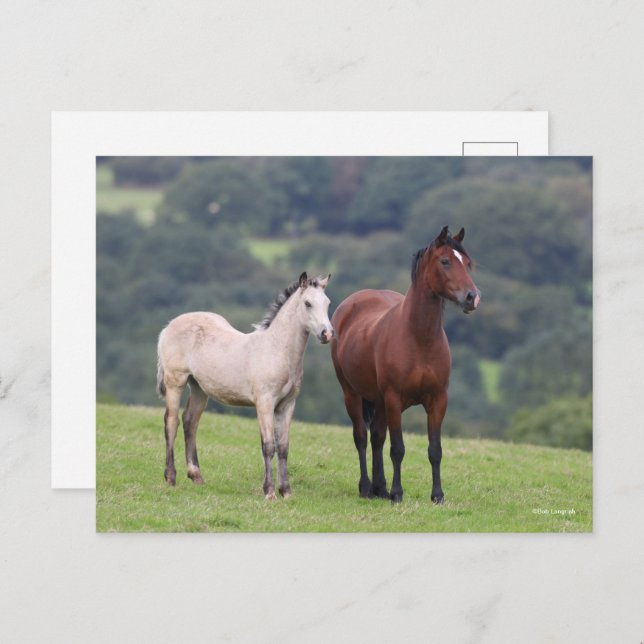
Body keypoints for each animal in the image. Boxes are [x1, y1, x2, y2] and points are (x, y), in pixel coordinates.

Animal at [156, 272, 334, 500]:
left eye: (327, 303)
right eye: (308, 303)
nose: (327, 334)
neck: (276, 350)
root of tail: (169, 325)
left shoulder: (287, 405)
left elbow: (283, 447)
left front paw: (286, 491)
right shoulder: (264, 403)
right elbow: (268, 446)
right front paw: (269, 492)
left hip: (199, 388)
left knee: (190, 421)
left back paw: (196, 476)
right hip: (175, 381)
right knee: (171, 422)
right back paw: (170, 477)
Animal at [330, 226, 480, 504]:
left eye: (467, 262)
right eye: (445, 261)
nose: (472, 297)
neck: (420, 339)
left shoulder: (438, 400)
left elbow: (435, 450)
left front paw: (437, 496)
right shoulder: (394, 399)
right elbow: (397, 449)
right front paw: (397, 494)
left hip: (378, 401)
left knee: (377, 437)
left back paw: (379, 488)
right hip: (352, 394)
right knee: (362, 437)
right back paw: (366, 488)